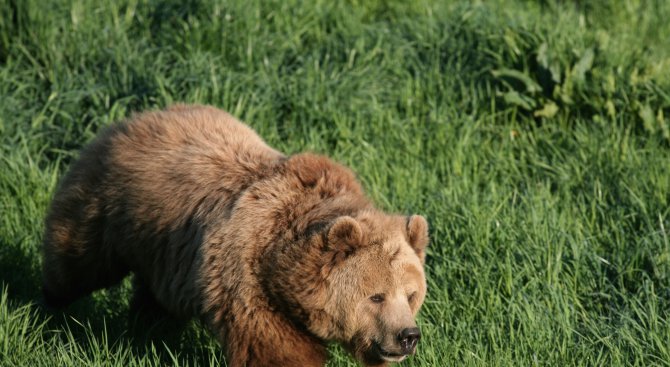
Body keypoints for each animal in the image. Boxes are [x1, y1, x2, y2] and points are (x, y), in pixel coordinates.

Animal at [42, 104, 430, 367]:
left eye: (411, 295)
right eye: (376, 296)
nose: (408, 336)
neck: (281, 266)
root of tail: (138, 116)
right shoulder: (248, 280)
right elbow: (275, 349)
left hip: (163, 250)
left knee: (156, 298)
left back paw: (147, 329)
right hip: (108, 207)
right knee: (76, 261)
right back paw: (48, 308)